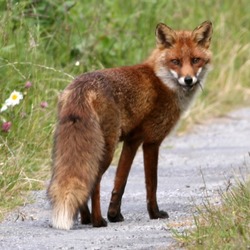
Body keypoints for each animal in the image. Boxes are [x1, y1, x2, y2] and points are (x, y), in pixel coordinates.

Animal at [47, 20, 213, 229]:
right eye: (175, 61)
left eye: (195, 60)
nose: (189, 79)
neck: (162, 81)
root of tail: (82, 87)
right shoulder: (152, 141)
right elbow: (151, 184)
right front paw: (154, 213)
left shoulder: (132, 141)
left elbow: (120, 181)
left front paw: (114, 214)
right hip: (106, 149)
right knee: (95, 182)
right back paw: (97, 221)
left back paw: (86, 218)